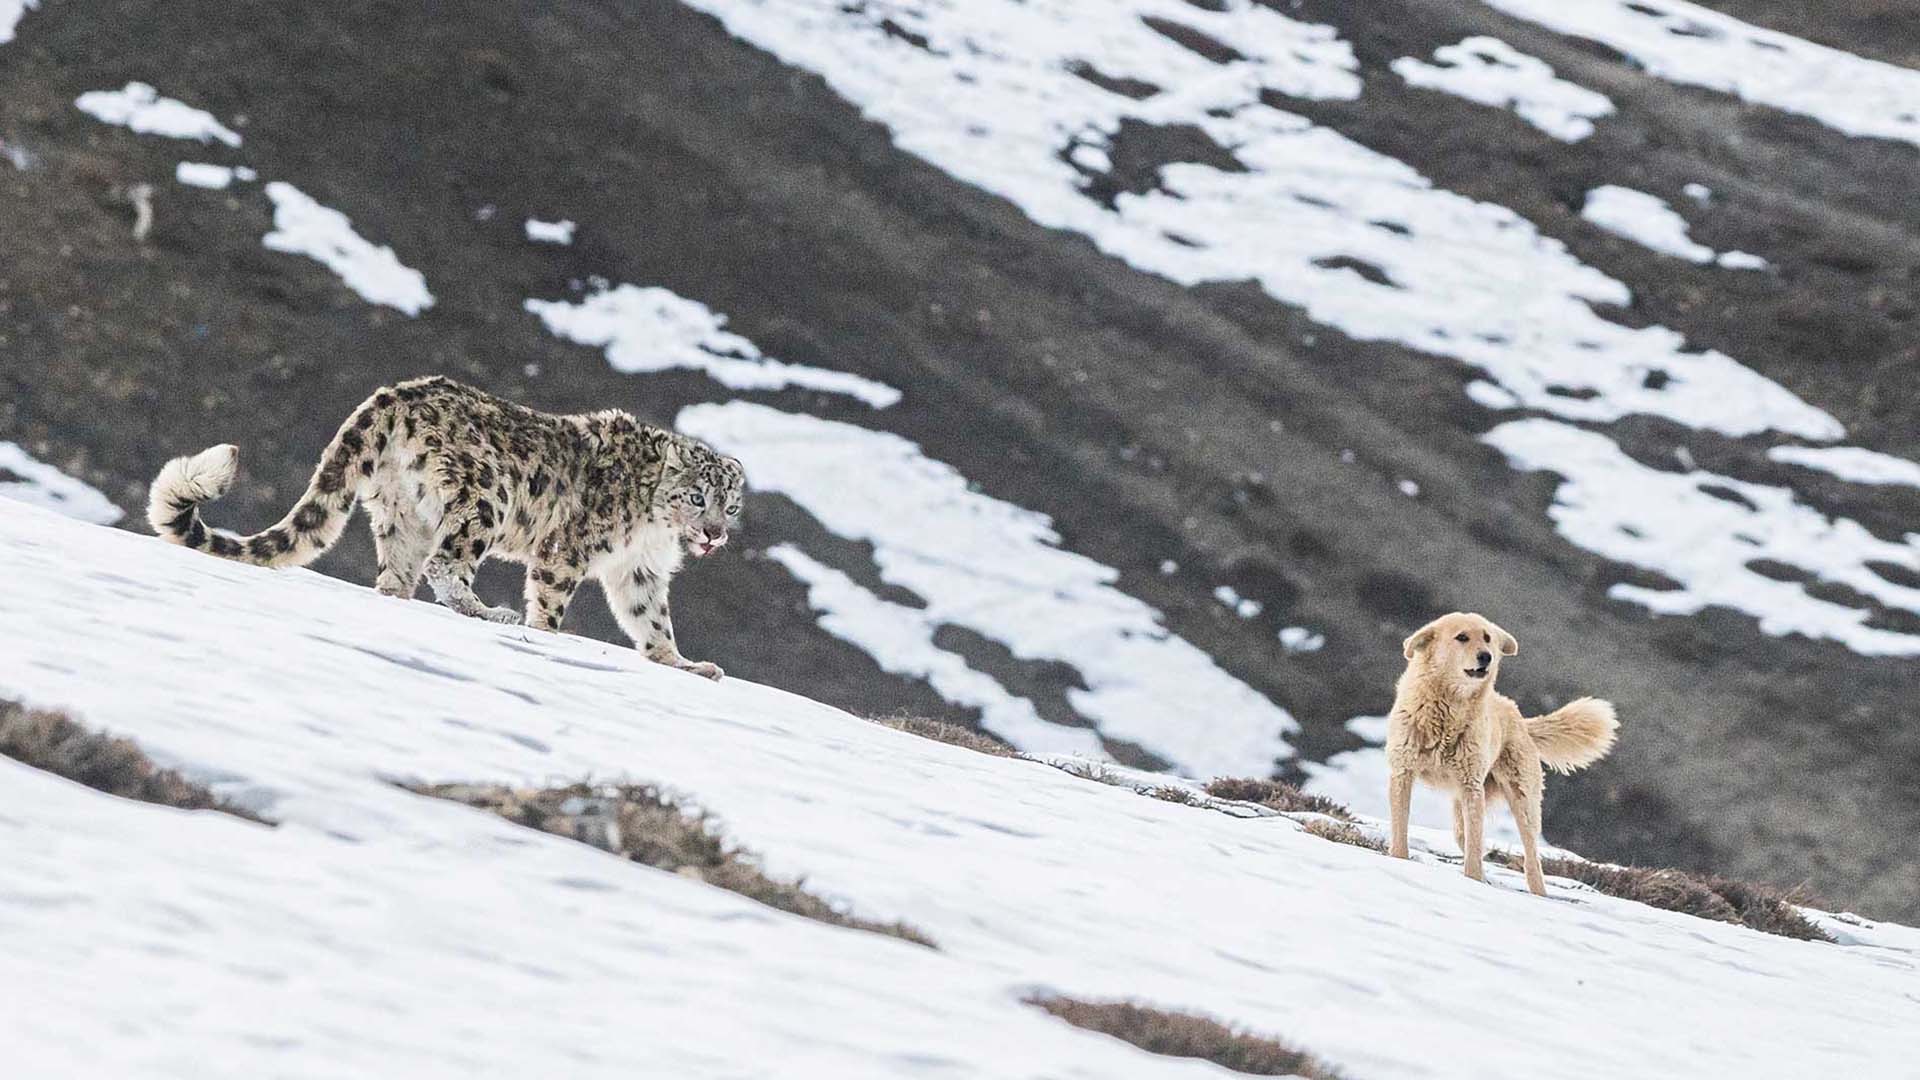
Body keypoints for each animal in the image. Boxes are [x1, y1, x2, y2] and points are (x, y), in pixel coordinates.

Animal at [145, 374, 744, 676]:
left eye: (731, 506)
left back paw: (407, 596)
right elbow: (551, 601)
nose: (714, 532)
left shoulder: (640, 570)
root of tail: (395, 393)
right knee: (447, 563)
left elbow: (652, 619)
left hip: (400, 511)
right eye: (697, 497)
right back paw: (488, 612)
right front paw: (547, 636)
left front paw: (682, 662)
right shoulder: (566, 551)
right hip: (485, 495)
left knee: (396, 575)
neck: (654, 527)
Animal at [1390, 614, 1612, 891]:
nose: (1487, 656)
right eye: (1462, 637)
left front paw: (1472, 881)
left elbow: (1474, 849)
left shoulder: (1472, 786)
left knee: (1531, 858)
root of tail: (1518, 716)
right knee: (1467, 837)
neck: (1448, 710)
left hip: (1522, 800)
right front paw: (1398, 859)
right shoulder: (1403, 772)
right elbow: (1401, 828)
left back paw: (1537, 892)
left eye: (1487, 638)